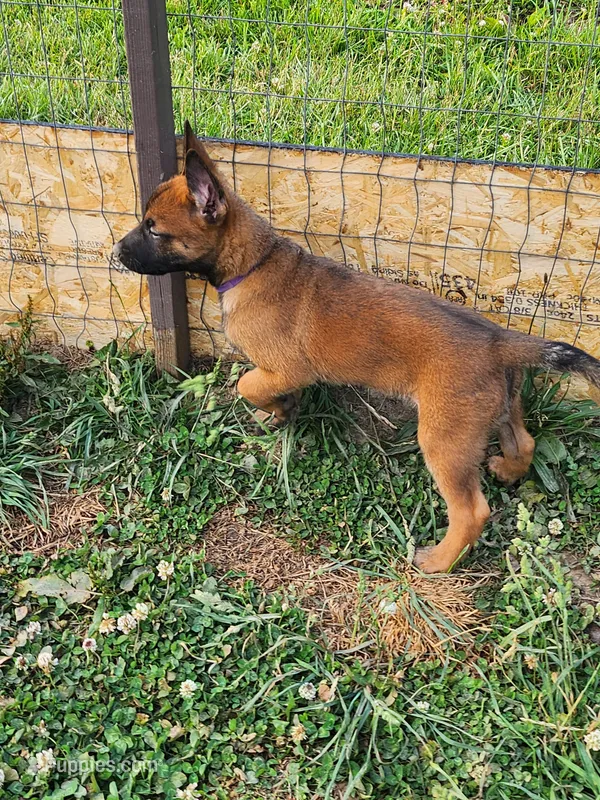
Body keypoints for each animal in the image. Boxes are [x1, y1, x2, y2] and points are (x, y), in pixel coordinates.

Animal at [113, 122, 600, 573]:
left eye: (154, 231)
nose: (116, 251)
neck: (254, 263)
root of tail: (501, 341)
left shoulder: (286, 368)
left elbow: (246, 385)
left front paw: (273, 409)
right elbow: (266, 393)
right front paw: (281, 412)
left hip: (444, 438)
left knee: (471, 510)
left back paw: (439, 561)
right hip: (500, 409)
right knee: (525, 443)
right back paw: (508, 470)